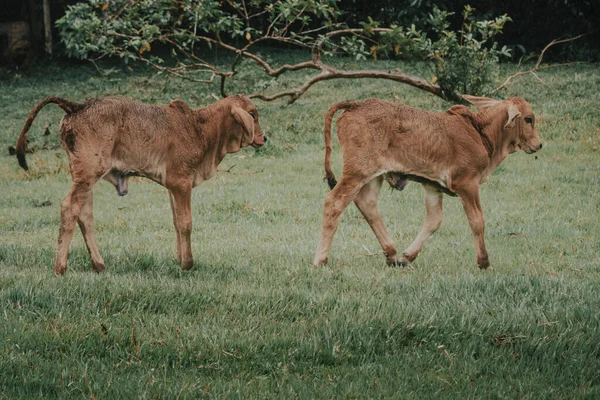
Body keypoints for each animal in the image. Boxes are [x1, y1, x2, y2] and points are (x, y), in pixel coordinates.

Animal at [16, 95, 266, 274]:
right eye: (252, 114)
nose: (264, 138)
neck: (200, 128)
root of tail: (77, 106)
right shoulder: (181, 181)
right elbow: (185, 223)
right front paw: (188, 264)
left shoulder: (172, 186)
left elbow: (176, 222)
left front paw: (179, 259)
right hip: (88, 172)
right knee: (69, 207)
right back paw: (60, 268)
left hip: (84, 177)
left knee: (84, 214)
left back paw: (99, 264)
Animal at [314, 95, 544, 268]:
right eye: (528, 119)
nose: (539, 144)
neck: (480, 132)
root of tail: (357, 104)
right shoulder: (467, 184)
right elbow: (477, 221)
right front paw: (483, 262)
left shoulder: (432, 187)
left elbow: (434, 221)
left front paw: (408, 256)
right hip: (357, 172)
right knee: (334, 203)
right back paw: (320, 259)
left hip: (373, 177)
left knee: (367, 204)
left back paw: (392, 253)